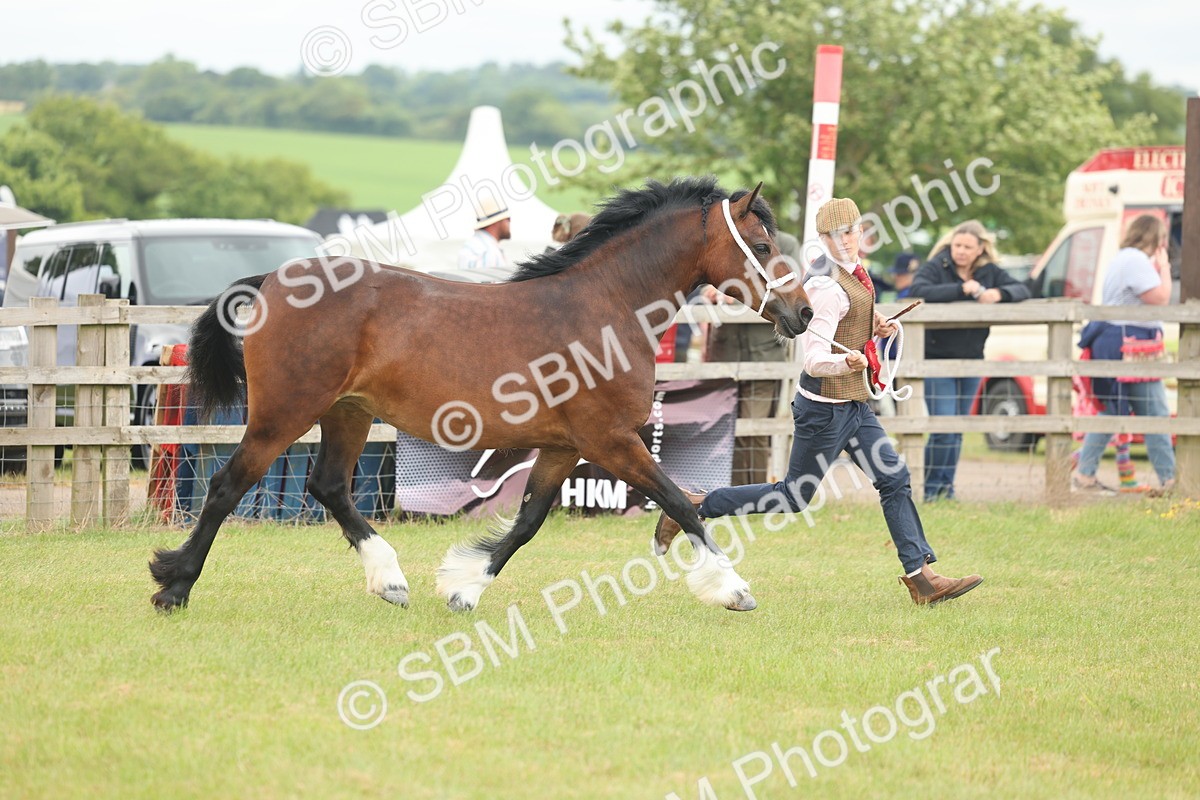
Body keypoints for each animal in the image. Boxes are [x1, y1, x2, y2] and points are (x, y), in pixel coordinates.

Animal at [149, 177, 813, 614]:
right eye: (761, 244)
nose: (803, 313)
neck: (608, 306)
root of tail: (272, 281)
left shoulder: (563, 448)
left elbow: (526, 524)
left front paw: (462, 587)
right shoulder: (612, 441)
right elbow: (681, 503)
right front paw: (733, 589)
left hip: (348, 414)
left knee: (329, 486)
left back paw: (390, 581)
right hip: (283, 415)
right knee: (227, 486)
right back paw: (174, 586)